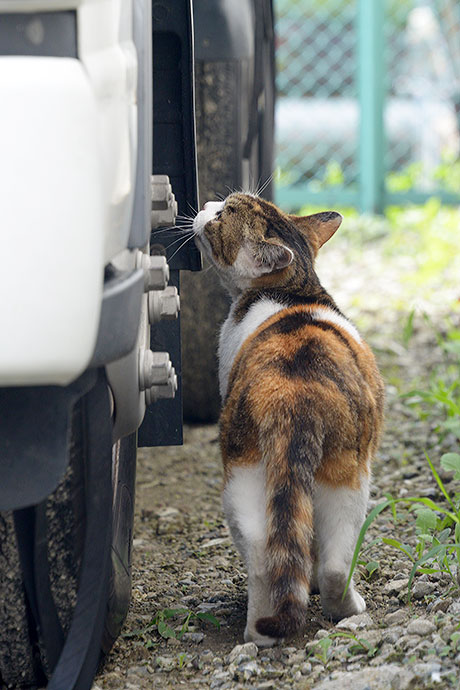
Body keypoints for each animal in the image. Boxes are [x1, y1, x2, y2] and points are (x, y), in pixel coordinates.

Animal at [191, 194, 384, 644]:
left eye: (223, 214)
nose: (208, 202)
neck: (294, 289)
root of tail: (293, 395)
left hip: (250, 476)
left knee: (269, 553)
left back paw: (261, 632)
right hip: (347, 476)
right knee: (328, 563)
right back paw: (341, 609)